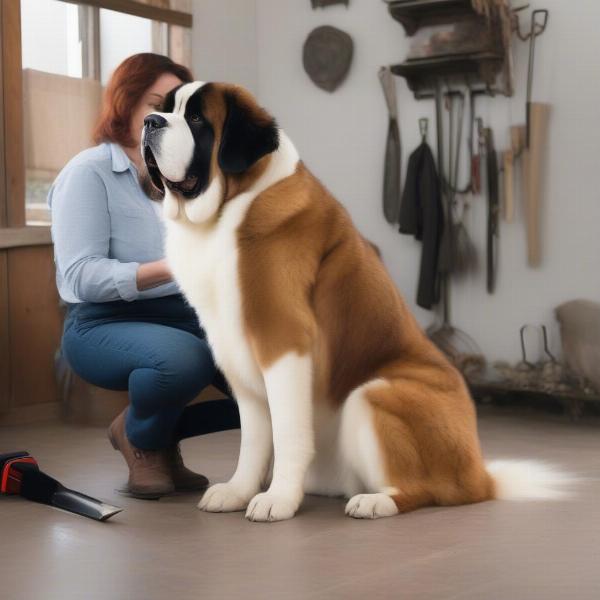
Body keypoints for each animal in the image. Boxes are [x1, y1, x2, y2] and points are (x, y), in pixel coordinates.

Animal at [141, 82, 568, 524]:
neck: (229, 208)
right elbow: (254, 437)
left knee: (426, 488)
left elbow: (287, 431)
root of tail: (481, 473)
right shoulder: (237, 352)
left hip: (375, 392)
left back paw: (376, 501)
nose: (150, 122)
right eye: (165, 108)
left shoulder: (283, 341)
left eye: (196, 119)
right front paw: (239, 490)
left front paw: (279, 498)